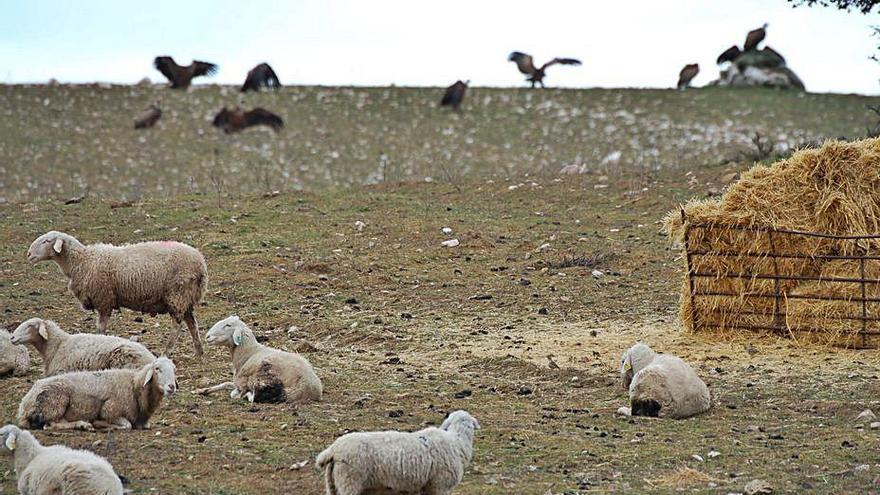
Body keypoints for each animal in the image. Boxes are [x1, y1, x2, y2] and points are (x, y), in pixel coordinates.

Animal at [18, 354, 178, 432]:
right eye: (157, 369)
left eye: (174, 369)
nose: (171, 386)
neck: (135, 385)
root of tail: (24, 405)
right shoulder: (110, 411)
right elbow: (126, 425)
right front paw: (101, 424)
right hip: (55, 403)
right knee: (51, 424)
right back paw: (84, 425)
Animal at [26, 232, 209, 356]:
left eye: (46, 241)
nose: (28, 255)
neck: (83, 260)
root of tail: (200, 263)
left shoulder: (103, 300)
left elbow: (101, 327)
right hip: (186, 297)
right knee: (192, 323)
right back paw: (198, 351)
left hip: (177, 294)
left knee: (177, 325)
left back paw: (167, 351)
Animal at [192, 316, 324, 404]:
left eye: (228, 325)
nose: (207, 336)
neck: (249, 352)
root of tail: (312, 388)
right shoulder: (237, 382)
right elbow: (225, 384)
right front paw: (201, 390)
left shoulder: (243, 384)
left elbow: (234, 391)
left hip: (266, 379)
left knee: (257, 397)